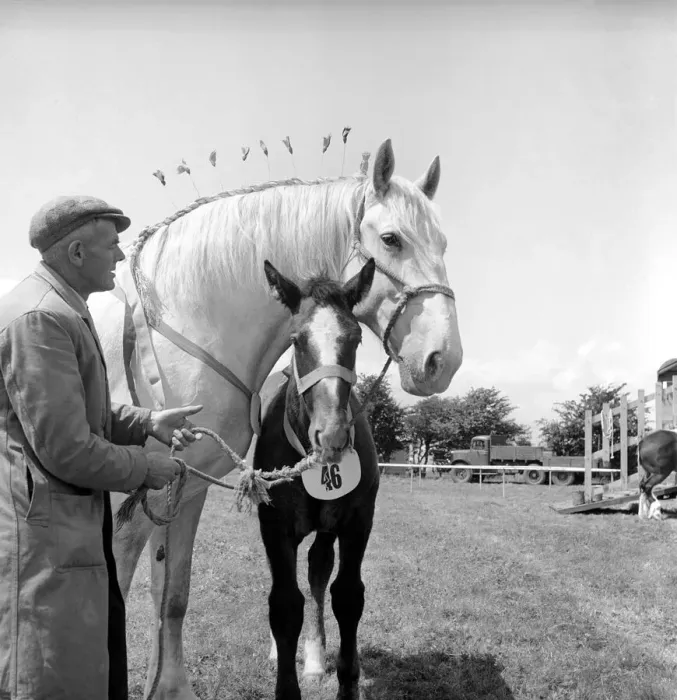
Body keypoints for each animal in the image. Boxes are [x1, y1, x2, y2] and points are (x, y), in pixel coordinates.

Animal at [256, 257, 377, 700]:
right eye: (297, 339)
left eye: (356, 338)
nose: (333, 436)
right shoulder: (275, 526)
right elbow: (284, 603)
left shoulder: (358, 521)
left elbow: (347, 595)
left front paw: (346, 681)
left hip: (327, 528)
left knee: (318, 572)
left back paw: (313, 657)